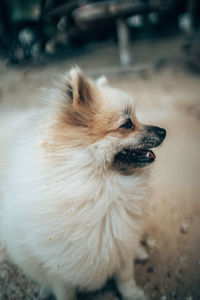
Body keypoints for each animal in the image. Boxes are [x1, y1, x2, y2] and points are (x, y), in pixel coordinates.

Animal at [0, 68, 166, 300]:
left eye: (136, 118)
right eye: (127, 124)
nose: (163, 131)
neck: (102, 185)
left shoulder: (120, 241)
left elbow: (125, 276)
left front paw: (133, 295)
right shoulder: (57, 266)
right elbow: (65, 291)